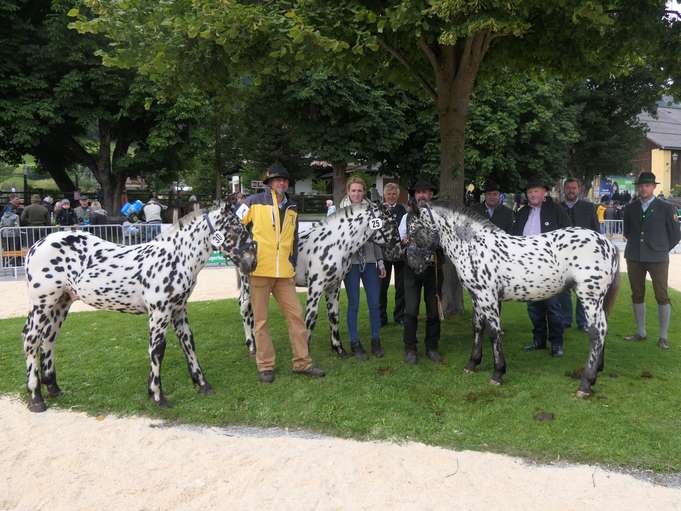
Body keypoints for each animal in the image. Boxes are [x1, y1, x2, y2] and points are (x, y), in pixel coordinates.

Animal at [23, 196, 258, 412]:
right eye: (236, 229)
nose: (252, 262)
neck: (176, 257)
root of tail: (36, 245)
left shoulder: (179, 309)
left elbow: (188, 343)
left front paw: (202, 384)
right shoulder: (159, 311)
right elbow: (157, 349)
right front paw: (157, 395)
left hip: (61, 303)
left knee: (49, 340)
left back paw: (53, 388)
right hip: (42, 304)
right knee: (31, 340)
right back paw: (36, 397)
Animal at [239, 202, 402, 358]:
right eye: (391, 223)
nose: (399, 250)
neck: (334, 244)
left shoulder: (334, 286)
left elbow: (334, 315)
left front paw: (339, 349)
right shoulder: (315, 287)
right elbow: (311, 317)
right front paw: (305, 351)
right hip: (248, 285)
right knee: (245, 308)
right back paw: (252, 346)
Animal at [406, 206, 620, 398]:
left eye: (415, 230)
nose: (412, 264)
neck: (474, 247)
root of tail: (608, 244)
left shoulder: (488, 297)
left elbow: (494, 332)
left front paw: (498, 373)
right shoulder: (477, 297)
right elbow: (477, 328)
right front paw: (472, 364)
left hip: (590, 297)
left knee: (596, 332)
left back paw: (586, 383)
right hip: (598, 300)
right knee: (603, 329)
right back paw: (598, 369)